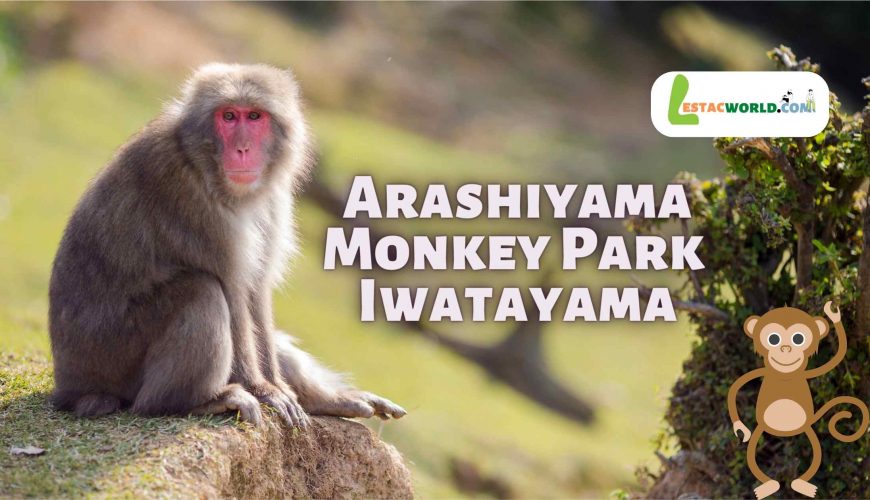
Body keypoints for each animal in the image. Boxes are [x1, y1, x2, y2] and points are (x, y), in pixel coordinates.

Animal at [49, 63, 406, 427]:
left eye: (255, 116)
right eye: (229, 116)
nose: (242, 149)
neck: (200, 160)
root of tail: (70, 387)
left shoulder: (273, 199)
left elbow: (256, 293)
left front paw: (281, 387)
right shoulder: (189, 197)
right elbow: (232, 290)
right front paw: (263, 390)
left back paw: (326, 398)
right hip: (113, 358)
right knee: (202, 290)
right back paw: (191, 401)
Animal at [728, 302, 868, 499]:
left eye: (798, 338)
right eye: (773, 339)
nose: (786, 348)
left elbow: (839, 354)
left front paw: (833, 314)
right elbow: (734, 389)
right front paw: (740, 429)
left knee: (816, 455)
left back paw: (802, 485)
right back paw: (768, 486)